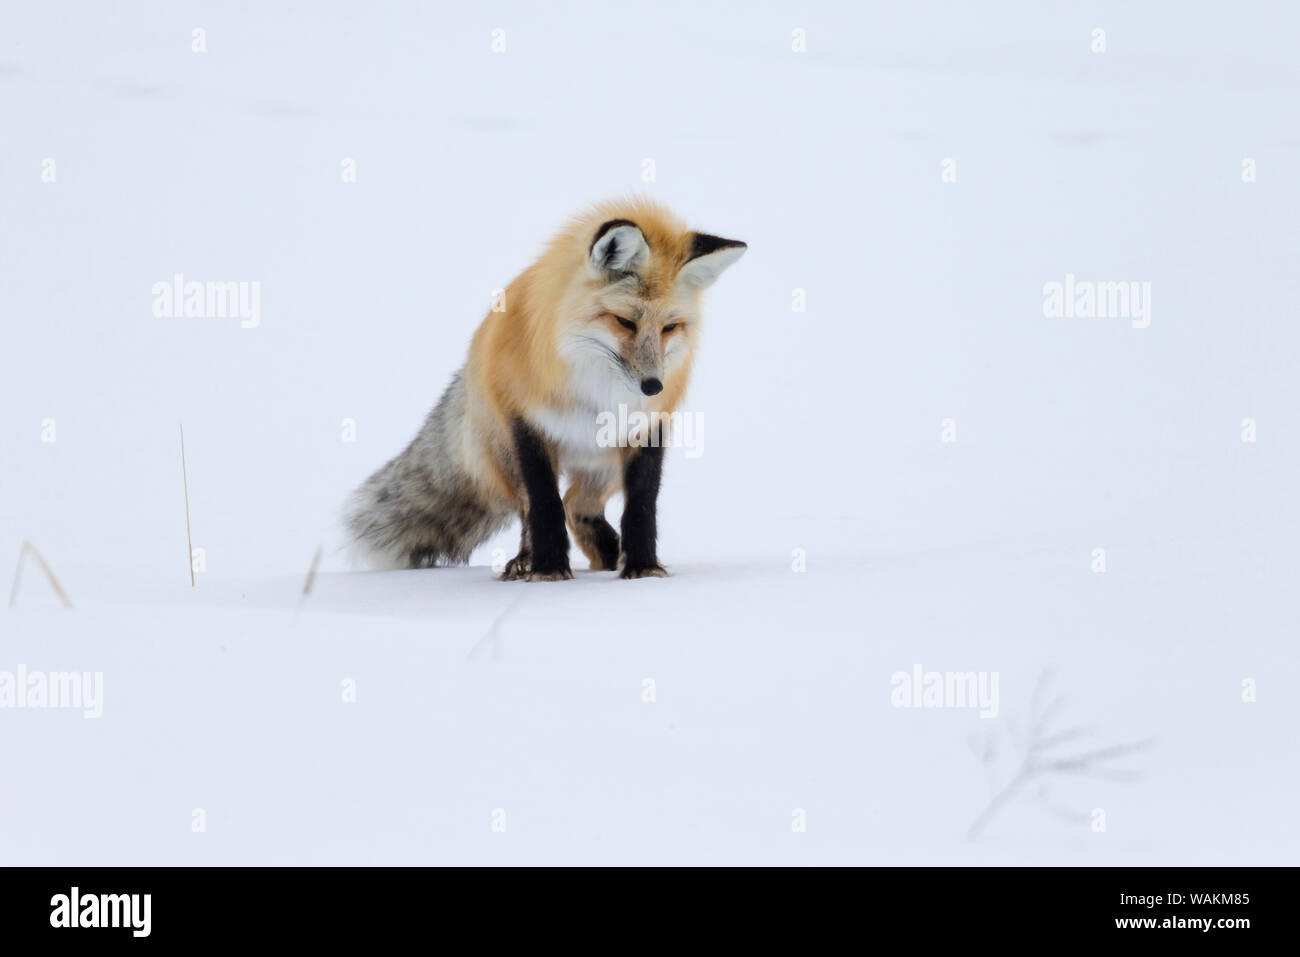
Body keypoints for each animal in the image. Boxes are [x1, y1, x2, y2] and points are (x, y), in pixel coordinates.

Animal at [344, 198, 746, 580]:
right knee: (539, 507)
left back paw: (609, 555)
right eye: (625, 322)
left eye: (670, 327)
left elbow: (641, 507)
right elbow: (543, 505)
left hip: (602, 466)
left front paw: (643, 568)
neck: (598, 391)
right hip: (509, 455)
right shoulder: (527, 423)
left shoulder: (647, 429)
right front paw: (549, 568)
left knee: (577, 503)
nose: (652, 386)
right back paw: (526, 561)